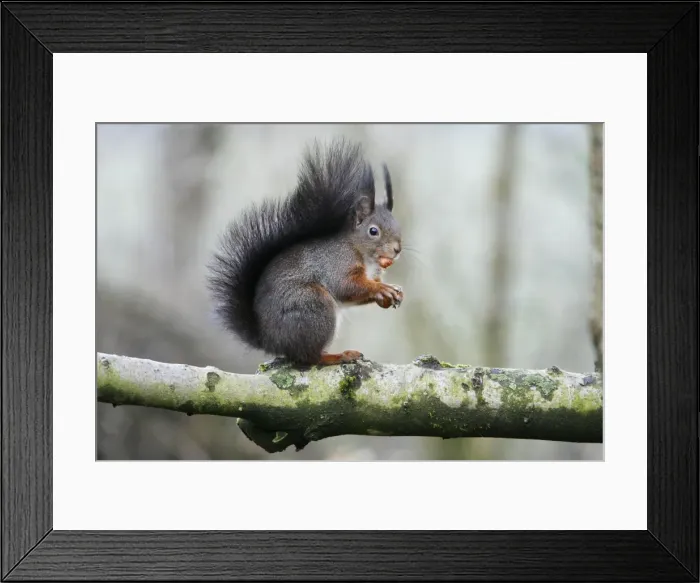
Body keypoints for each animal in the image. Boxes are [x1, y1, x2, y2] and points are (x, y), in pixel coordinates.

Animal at [207, 137, 404, 366]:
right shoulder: (338, 262)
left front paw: (391, 292)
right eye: (373, 231)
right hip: (314, 305)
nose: (397, 249)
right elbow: (345, 286)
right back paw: (339, 356)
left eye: (397, 224)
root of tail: (271, 341)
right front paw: (382, 289)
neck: (363, 253)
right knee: (311, 357)